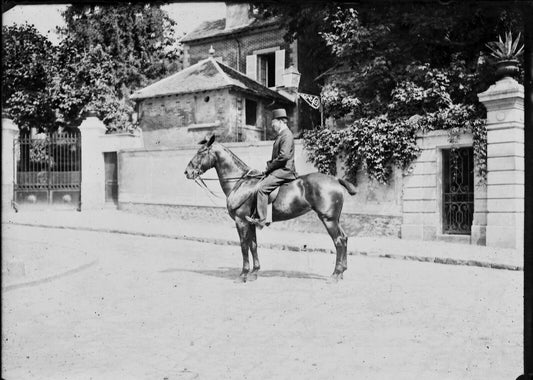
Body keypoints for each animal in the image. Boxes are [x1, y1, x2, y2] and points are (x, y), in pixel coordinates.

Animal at [184, 134, 358, 282]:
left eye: (201, 152)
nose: (187, 172)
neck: (240, 182)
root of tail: (335, 179)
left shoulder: (241, 222)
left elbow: (243, 246)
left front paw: (243, 274)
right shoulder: (250, 222)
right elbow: (253, 245)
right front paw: (254, 273)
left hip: (328, 219)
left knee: (339, 241)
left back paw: (335, 275)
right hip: (335, 219)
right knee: (344, 238)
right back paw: (341, 272)